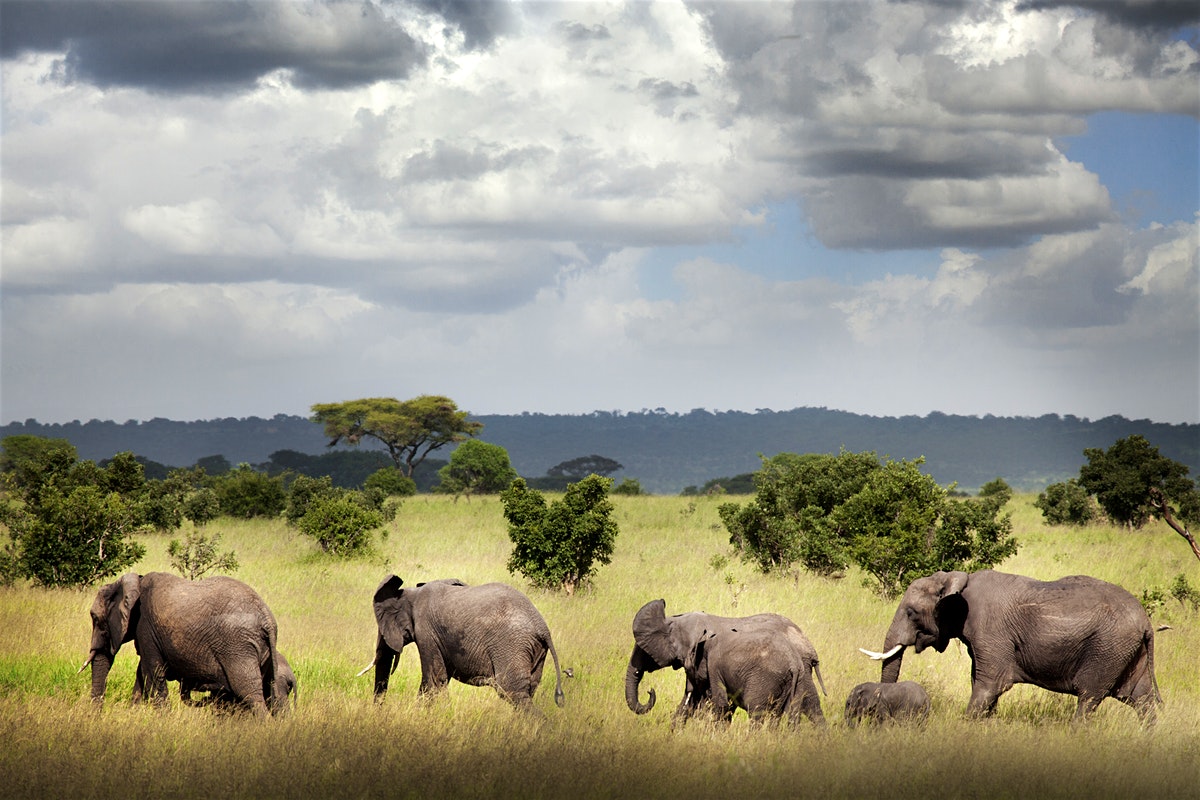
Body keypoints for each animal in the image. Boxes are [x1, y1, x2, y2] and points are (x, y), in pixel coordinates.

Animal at [82, 571, 284, 716]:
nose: (96, 716)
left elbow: (152, 673)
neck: (135, 582)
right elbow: (142, 675)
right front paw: (135, 715)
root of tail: (266, 618)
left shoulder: (145, 626)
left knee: (249, 693)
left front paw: (163, 720)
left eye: (95, 618)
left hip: (237, 647)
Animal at [363, 576, 564, 711]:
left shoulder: (426, 631)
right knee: (528, 690)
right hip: (534, 650)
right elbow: (439, 679)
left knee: (513, 692)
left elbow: (433, 680)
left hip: (511, 645)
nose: (378, 710)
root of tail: (542, 627)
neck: (413, 593)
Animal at [682, 627, 827, 728]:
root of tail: (793, 664)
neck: (707, 641)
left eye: (688, 670)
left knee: (756, 711)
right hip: (797, 680)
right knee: (787, 713)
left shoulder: (714, 666)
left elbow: (721, 702)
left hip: (764, 680)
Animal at [860, 570, 1160, 722]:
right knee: (1142, 699)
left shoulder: (991, 629)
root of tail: (1146, 622)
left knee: (1089, 698)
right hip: (1126, 652)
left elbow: (989, 684)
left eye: (911, 613)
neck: (957, 581)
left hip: (1108, 648)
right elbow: (979, 681)